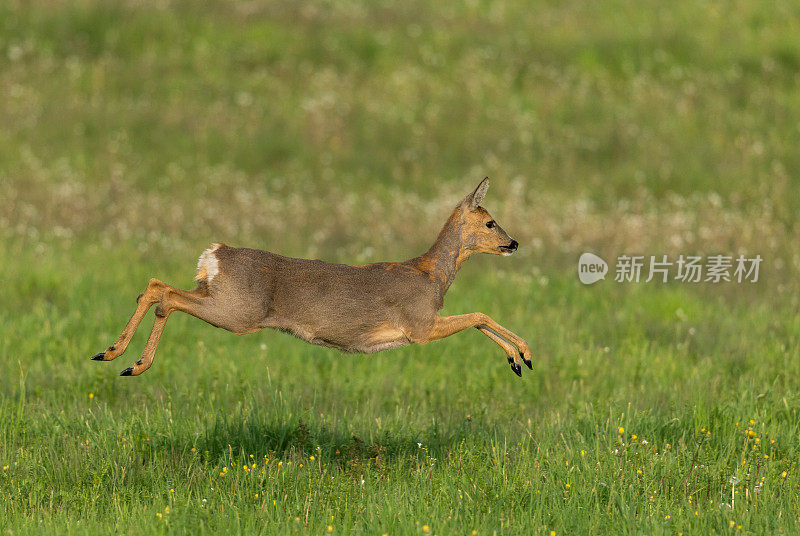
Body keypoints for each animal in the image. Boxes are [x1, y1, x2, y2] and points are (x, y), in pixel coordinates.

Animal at [90, 179, 532, 376]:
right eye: (490, 222)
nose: (513, 243)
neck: (432, 276)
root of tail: (214, 254)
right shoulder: (420, 326)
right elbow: (479, 316)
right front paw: (524, 354)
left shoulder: (424, 325)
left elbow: (478, 319)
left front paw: (517, 359)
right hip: (237, 311)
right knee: (166, 297)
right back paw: (133, 364)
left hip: (216, 295)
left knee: (155, 287)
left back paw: (112, 354)